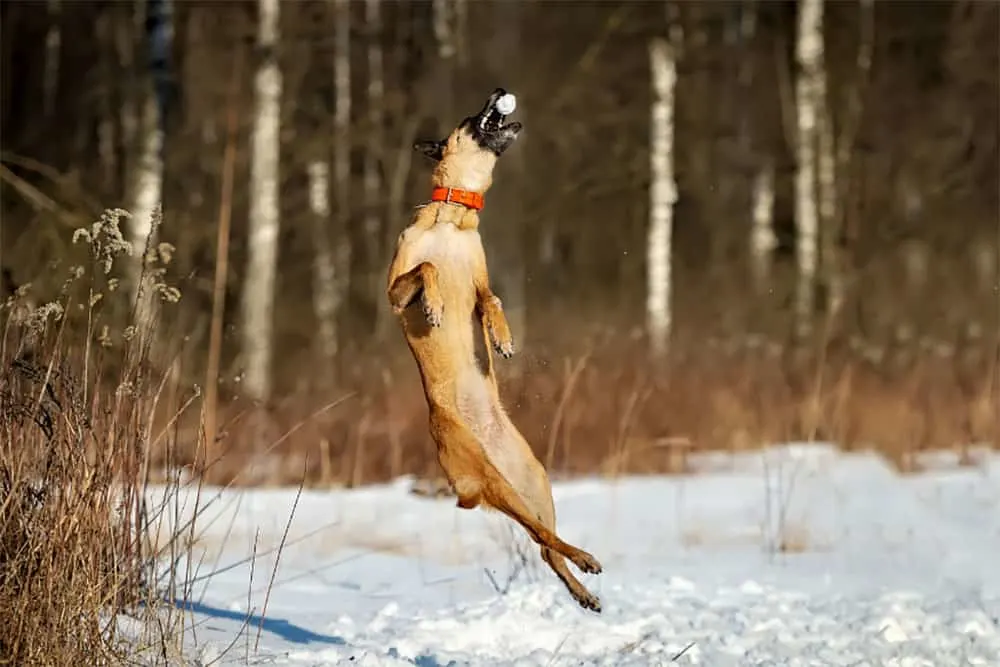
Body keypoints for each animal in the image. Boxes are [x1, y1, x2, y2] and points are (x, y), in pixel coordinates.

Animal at [384, 90, 600, 616]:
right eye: (468, 116)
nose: (498, 93)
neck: (453, 217)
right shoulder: (394, 290)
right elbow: (425, 269)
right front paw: (436, 305)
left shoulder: (481, 281)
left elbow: (493, 299)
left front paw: (501, 339)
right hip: (495, 482)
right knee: (541, 537)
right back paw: (585, 562)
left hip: (535, 481)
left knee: (544, 543)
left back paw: (582, 585)